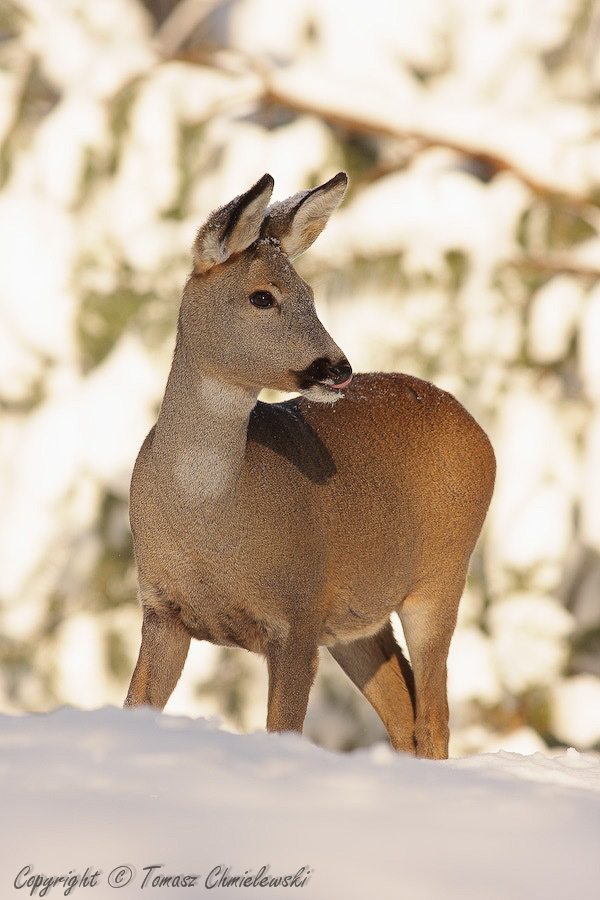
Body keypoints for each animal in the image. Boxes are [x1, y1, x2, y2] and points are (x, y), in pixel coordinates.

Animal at [124, 171, 494, 760]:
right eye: (262, 296)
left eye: (311, 294)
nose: (337, 367)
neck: (209, 514)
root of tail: (478, 429)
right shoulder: (162, 608)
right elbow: (134, 706)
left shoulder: (296, 615)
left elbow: (283, 729)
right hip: (356, 620)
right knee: (404, 712)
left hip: (442, 573)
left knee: (434, 717)